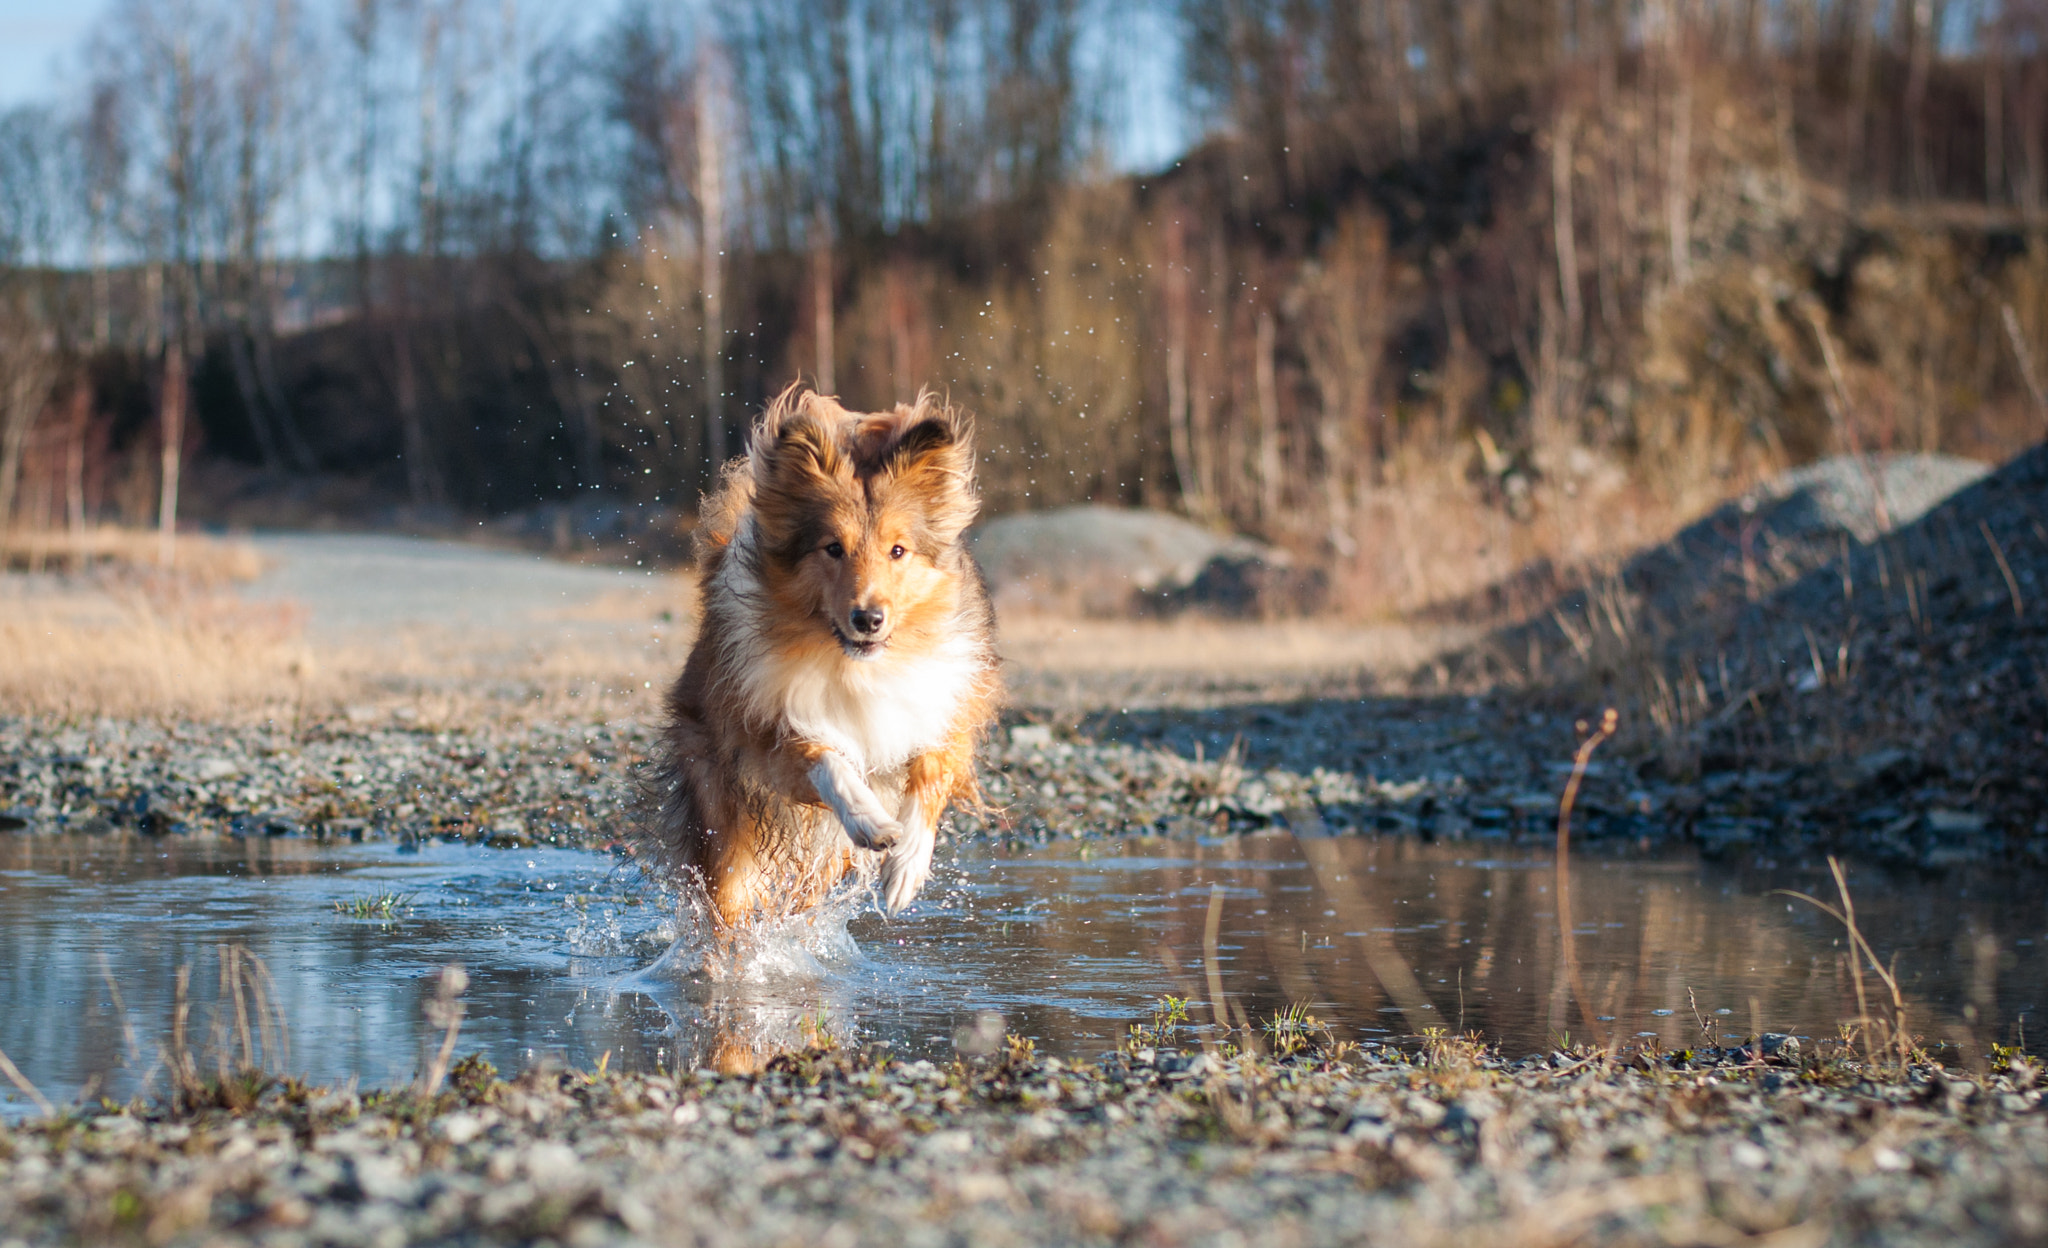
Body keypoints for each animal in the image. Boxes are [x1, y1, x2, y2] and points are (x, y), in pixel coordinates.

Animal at [634, 387, 995, 926]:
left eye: (898, 550)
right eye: (832, 548)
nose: (868, 619)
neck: (859, 668)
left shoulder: (942, 706)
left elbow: (933, 771)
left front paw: (906, 865)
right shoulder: (764, 735)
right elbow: (828, 760)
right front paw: (870, 820)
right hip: (724, 821)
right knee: (728, 904)